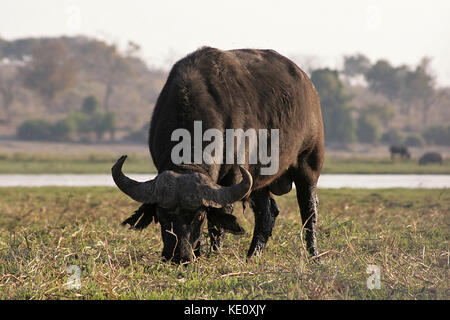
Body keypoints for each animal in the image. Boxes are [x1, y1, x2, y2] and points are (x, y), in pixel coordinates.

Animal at [112, 47, 324, 262]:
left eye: (199, 216)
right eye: (161, 215)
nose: (178, 256)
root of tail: (309, 86)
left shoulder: (233, 178)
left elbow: (218, 220)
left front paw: (215, 253)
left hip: (309, 163)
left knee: (309, 209)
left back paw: (314, 255)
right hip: (259, 181)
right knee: (266, 213)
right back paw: (253, 255)